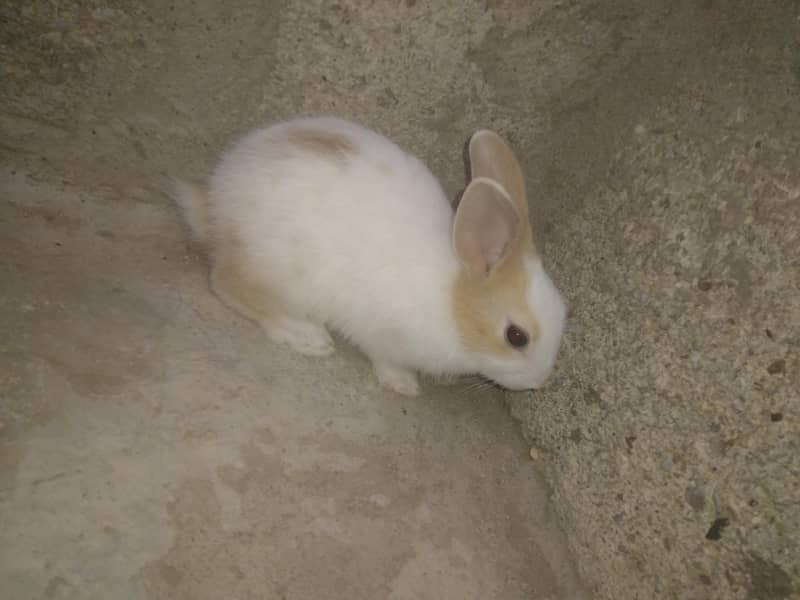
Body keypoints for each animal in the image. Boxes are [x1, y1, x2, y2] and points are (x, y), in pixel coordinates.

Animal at [169, 116, 566, 396]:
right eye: (516, 337)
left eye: (564, 312)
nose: (540, 382)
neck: (454, 302)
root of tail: (215, 205)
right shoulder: (381, 333)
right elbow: (383, 358)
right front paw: (403, 384)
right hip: (276, 270)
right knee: (227, 285)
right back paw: (305, 335)